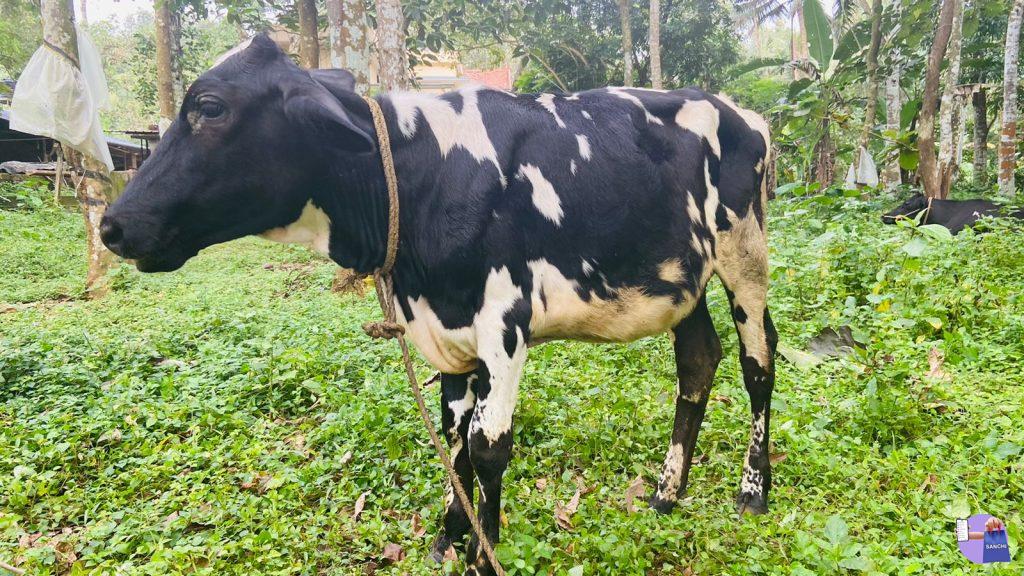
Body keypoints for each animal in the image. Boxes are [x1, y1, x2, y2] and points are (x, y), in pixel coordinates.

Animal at [99, 35, 776, 575]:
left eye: (209, 108)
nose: (113, 225)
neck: (422, 177)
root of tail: (739, 111)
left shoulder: (505, 324)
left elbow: (488, 446)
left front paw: (484, 554)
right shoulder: (445, 333)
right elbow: (453, 435)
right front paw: (450, 535)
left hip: (744, 254)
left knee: (758, 363)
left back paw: (753, 491)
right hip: (683, 276)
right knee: (698, 361)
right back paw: (667, 492)